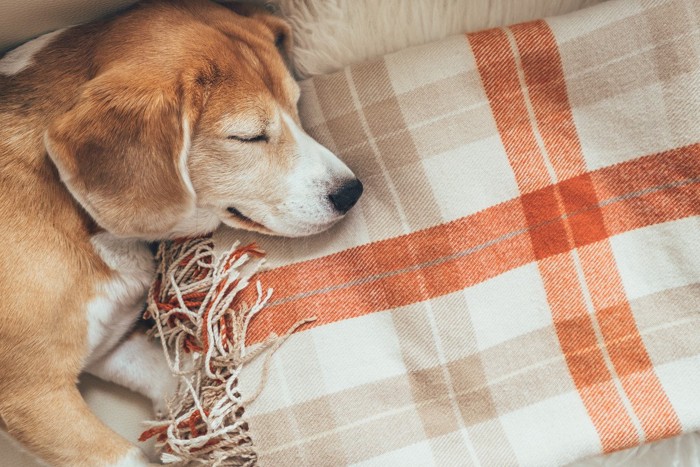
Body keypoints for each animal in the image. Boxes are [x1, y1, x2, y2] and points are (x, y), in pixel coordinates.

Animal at [0, 1, 364, 466]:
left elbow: (182, 387)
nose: (351, 191)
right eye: (248, 136)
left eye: (297, 108)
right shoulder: (34, 397)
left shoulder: (112, 345)